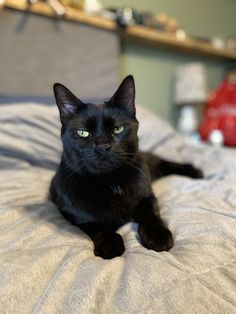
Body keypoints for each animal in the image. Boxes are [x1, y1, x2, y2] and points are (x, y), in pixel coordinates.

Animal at [49, 75, 203, 258]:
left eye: (118, 129)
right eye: (83, 132)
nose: (103, 146)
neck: (111, 183)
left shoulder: (147, 195)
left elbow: (150, 213)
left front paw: (158, 236)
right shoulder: (75, 216)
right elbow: (97, 225)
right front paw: (110, 244)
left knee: (167, 163)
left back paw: (196, 172)